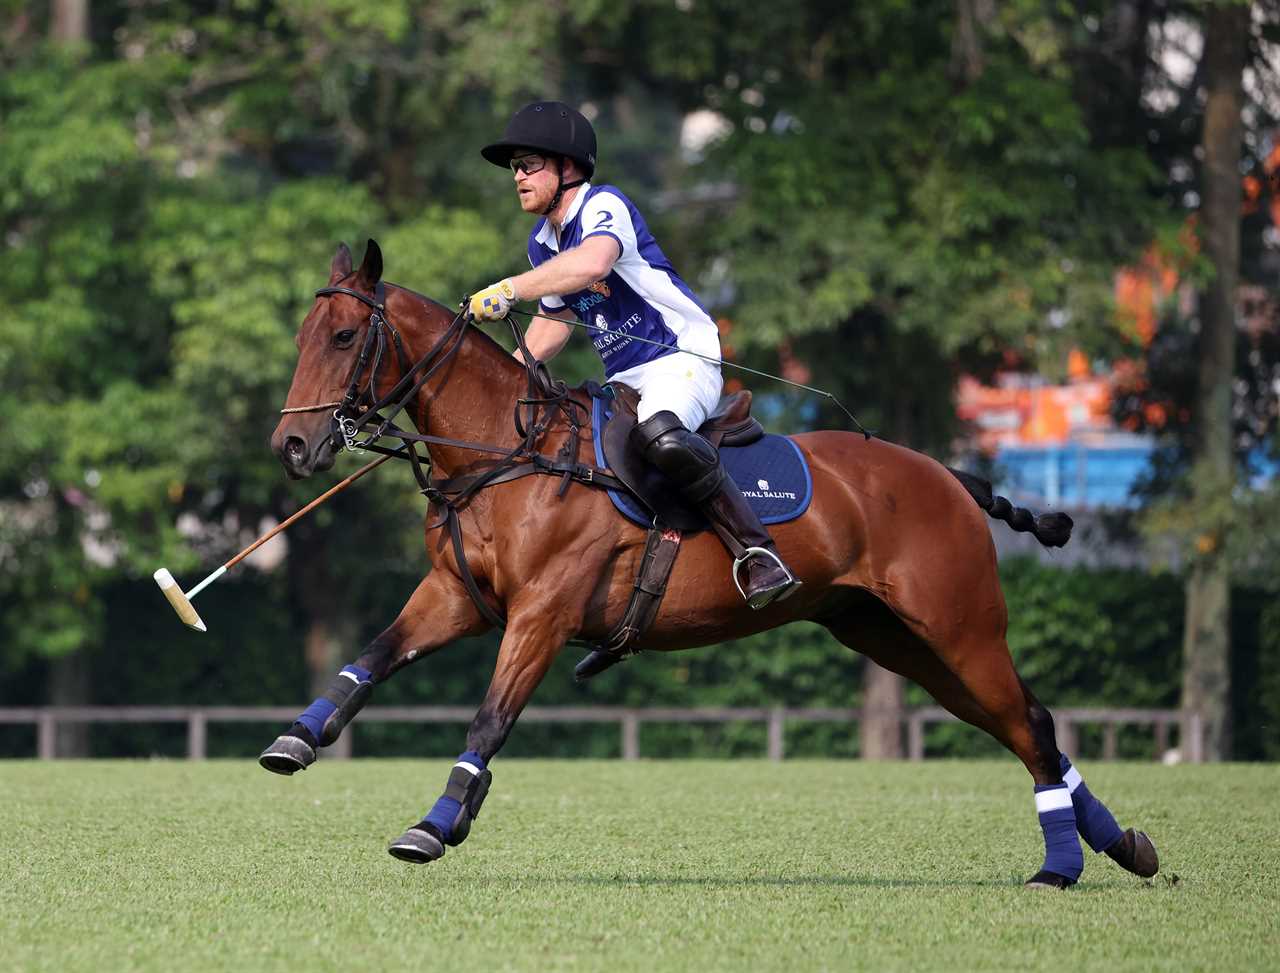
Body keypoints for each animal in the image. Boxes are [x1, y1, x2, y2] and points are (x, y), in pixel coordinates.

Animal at [259, 243, 1162, 891]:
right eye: (300, 338)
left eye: (345, 337)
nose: (293, 445)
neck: (502, 454)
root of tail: (947, 476)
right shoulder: (457, 595)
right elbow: (372, 655)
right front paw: (296, 739)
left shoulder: (542, 611)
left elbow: (490, 718)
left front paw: (435, 824)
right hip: (896, 637)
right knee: (1021, 723)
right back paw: (1124, 846)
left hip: (959, 624)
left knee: (1030, 722)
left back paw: (1062, 866)